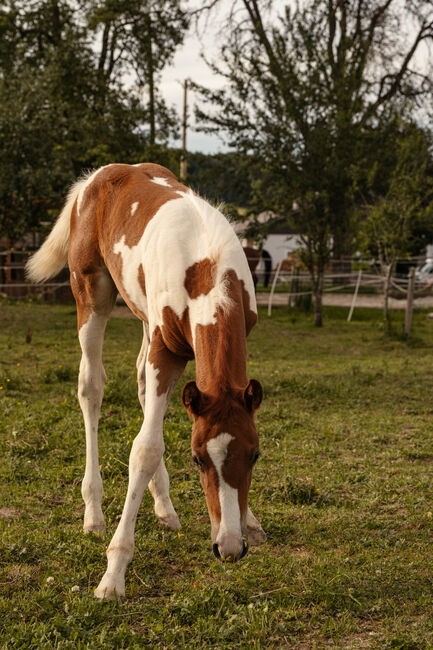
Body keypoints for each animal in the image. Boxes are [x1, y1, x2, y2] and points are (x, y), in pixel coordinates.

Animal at [27, 163, 264, 596]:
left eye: (255, 455)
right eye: (197, 458)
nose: (228, 548)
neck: (207, 266)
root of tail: (95, 177)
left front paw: (250, 521)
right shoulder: (166, 351)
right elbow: (145, 448)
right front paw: (113, 574)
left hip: (143, 318)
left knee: (139, 382)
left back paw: (164, 508)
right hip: (91, 296)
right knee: (91, 388)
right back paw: (93, 513)